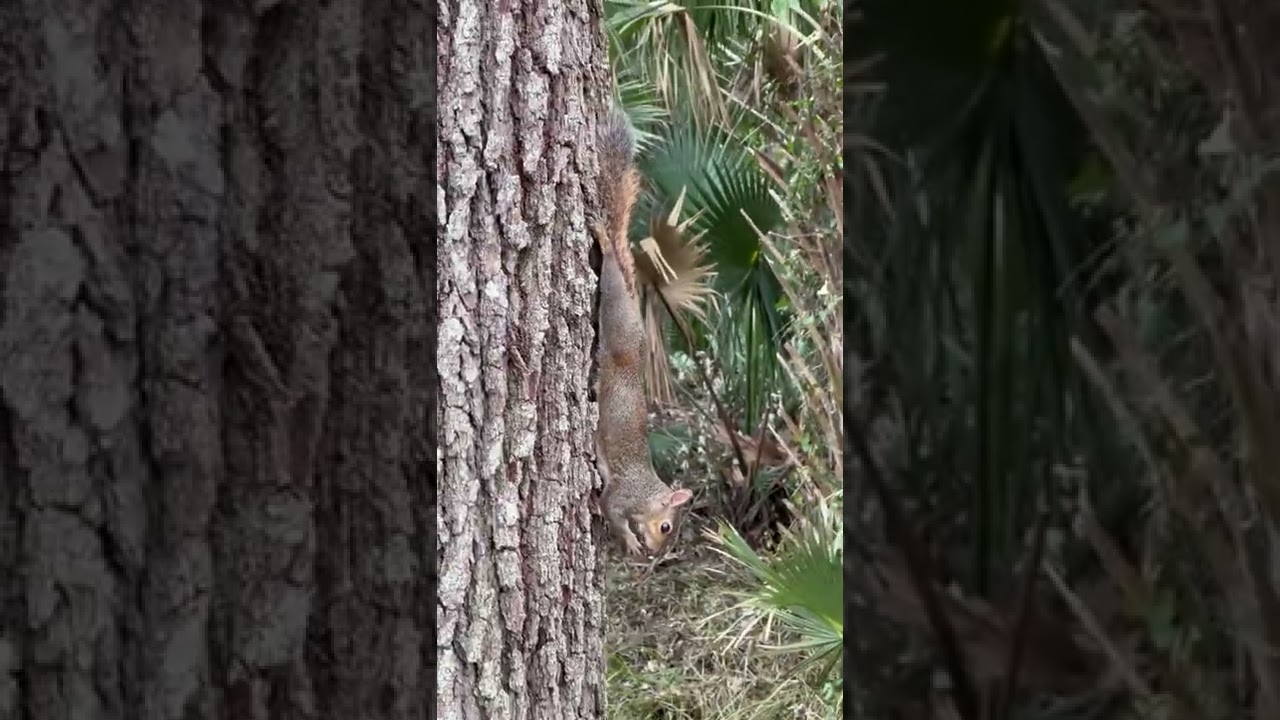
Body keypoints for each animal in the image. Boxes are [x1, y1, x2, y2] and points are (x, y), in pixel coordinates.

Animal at [592, 109, 709, 558]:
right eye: (666, 527)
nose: (658, 553)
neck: (646, 493)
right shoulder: (621, 494)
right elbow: (608, 508)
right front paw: (629, 541)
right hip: (616, 315)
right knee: (610, 268)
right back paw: (604, 238)